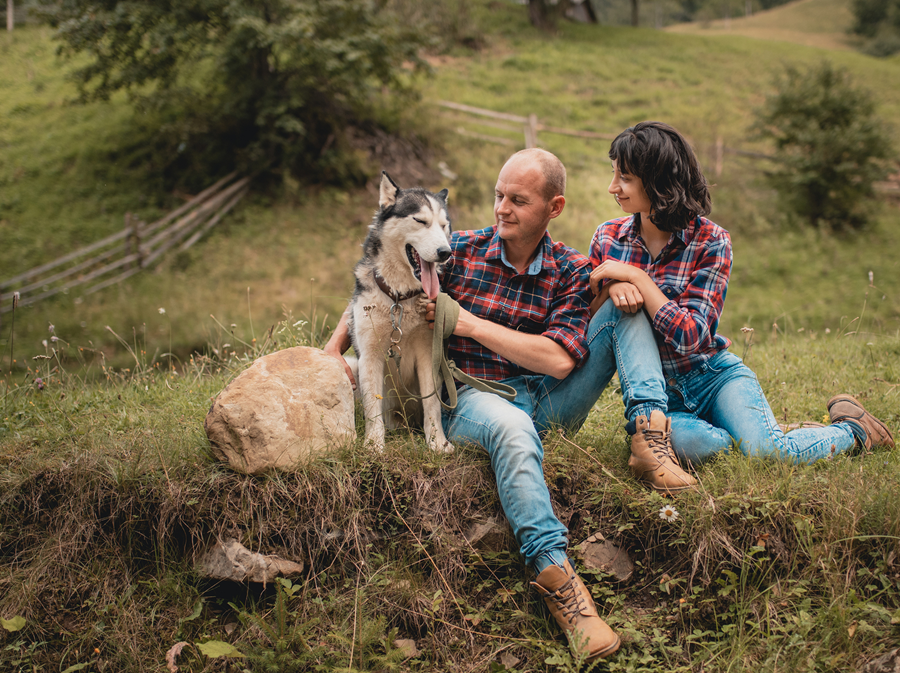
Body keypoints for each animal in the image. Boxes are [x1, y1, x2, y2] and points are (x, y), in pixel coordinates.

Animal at [348, 172, 454, 452]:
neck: (399, 298)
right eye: (420, 220)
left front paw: (437, 443)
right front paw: (374, 445)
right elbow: (372, 406)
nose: (446, 253)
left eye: (444, 226)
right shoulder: (370, 355)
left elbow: (432, 403)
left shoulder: (428, 354)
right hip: (353, 366)